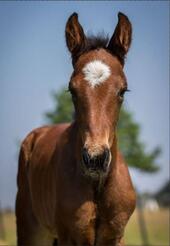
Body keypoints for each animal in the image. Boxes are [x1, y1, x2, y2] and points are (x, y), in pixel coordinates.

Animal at [15, 11, 136, 246]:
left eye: (122, 91)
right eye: (72, 90)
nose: (96, 158)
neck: (97, 185)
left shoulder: (116, 236)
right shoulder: (71, 236)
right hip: (31, 231)